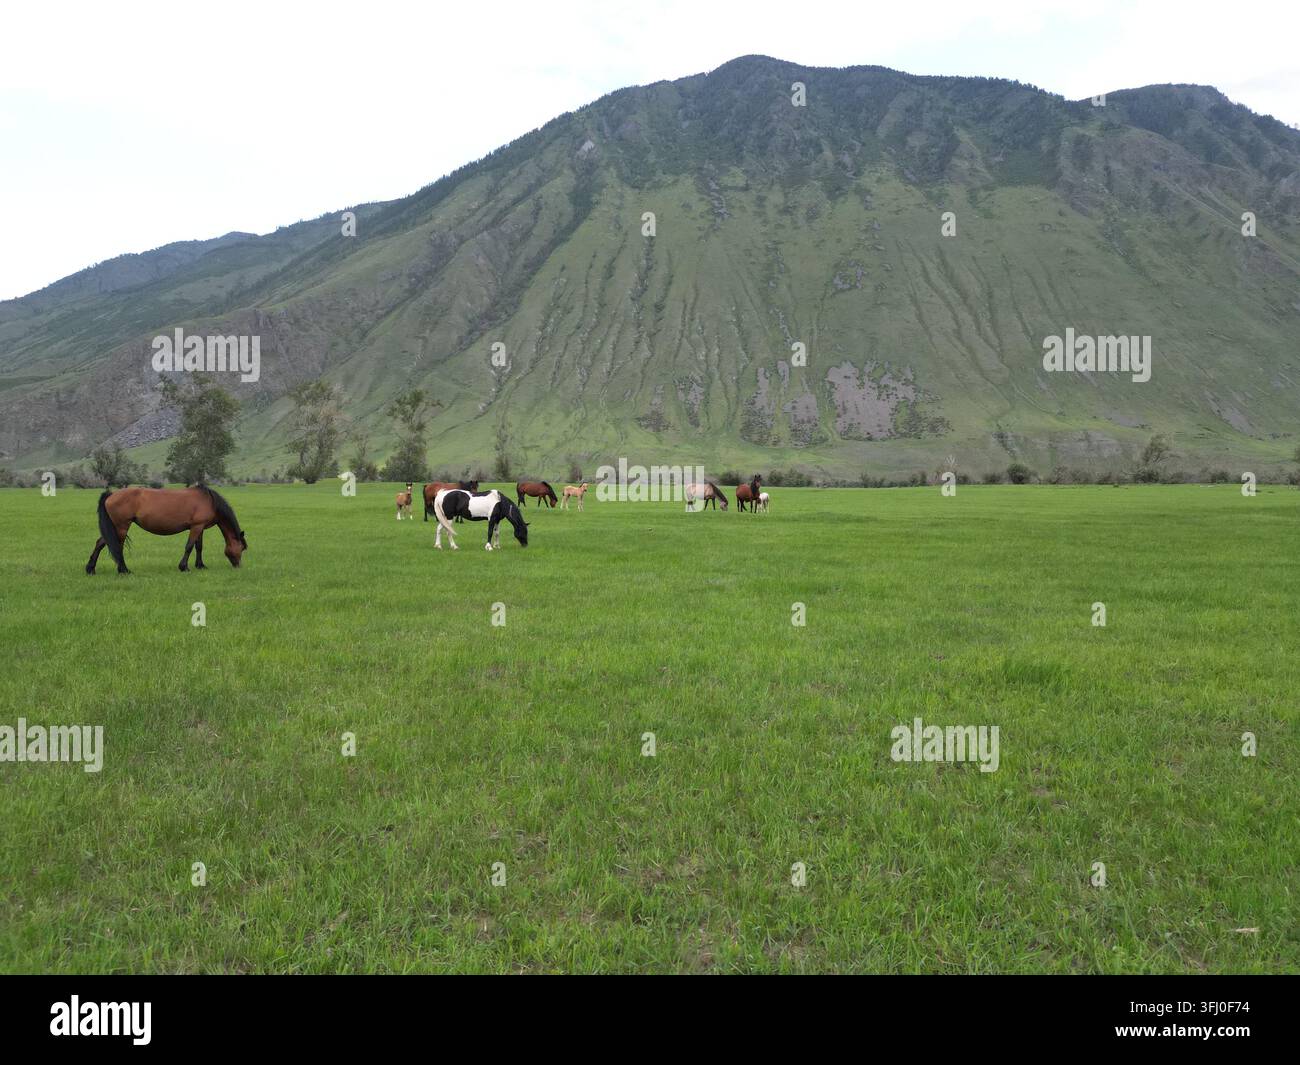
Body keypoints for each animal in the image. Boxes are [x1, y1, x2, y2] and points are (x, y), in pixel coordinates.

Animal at [86, 485, 247, 574]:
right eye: (242, 548)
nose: (239, 566)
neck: (209, 501)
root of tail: (111, 494)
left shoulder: (200, 527)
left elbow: (199, 547)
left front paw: (200, 565)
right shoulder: (196, 527)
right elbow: (189, 547)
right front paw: (184, 567)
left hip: (116, 527)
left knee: (100, 543)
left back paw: (91, 569)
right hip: (121, 527)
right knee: (116, 547)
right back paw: (123, 570)